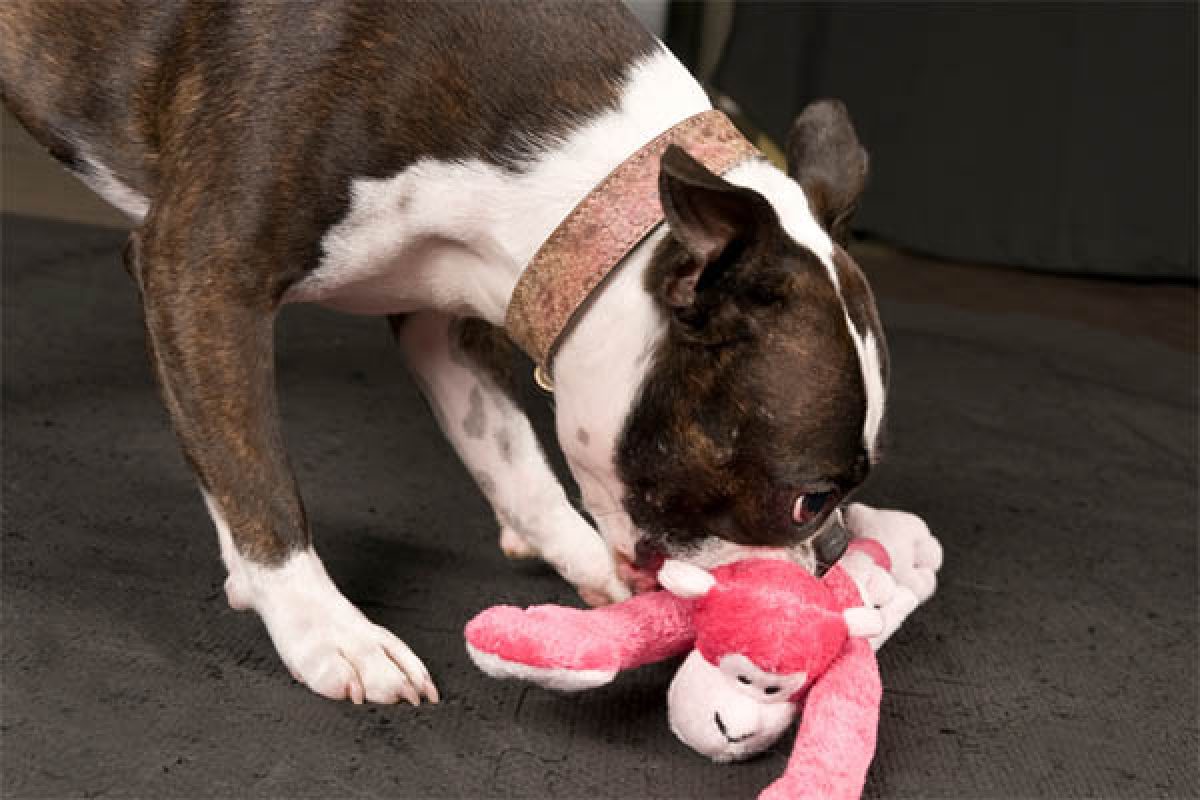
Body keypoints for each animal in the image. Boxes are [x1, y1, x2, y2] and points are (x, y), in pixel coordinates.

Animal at [0, 4, 902, 705]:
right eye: (809, 500)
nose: (829, 557)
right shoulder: (201, 275)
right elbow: (257, 476)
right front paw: (322, 627)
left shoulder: (445, 316)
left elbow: (508, 453)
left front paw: (582, 559)